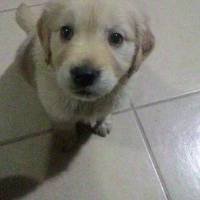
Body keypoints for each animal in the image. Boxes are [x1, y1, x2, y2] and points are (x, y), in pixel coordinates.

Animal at [15, 0, 155, 141]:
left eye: (116, 37)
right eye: (66, 31)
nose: (84, 75)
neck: (87, 103)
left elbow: (105, 112)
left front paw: (103, 123)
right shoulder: (57, 112)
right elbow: (65, 127)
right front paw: (66, 141)